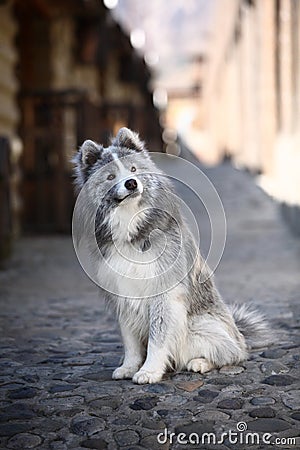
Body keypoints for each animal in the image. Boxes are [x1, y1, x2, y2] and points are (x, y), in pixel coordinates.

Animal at [72, 125, 270, 384]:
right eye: (110, 176)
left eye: (133, 169)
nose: (132, 184)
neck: (130, 222)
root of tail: (240, 334)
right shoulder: (122, 295)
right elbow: (130, 340)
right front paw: (129, 367)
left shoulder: (164, 294)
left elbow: (158, 338)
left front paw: (149, 371)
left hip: (201, 326)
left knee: (231, 353)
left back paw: (200, 363)